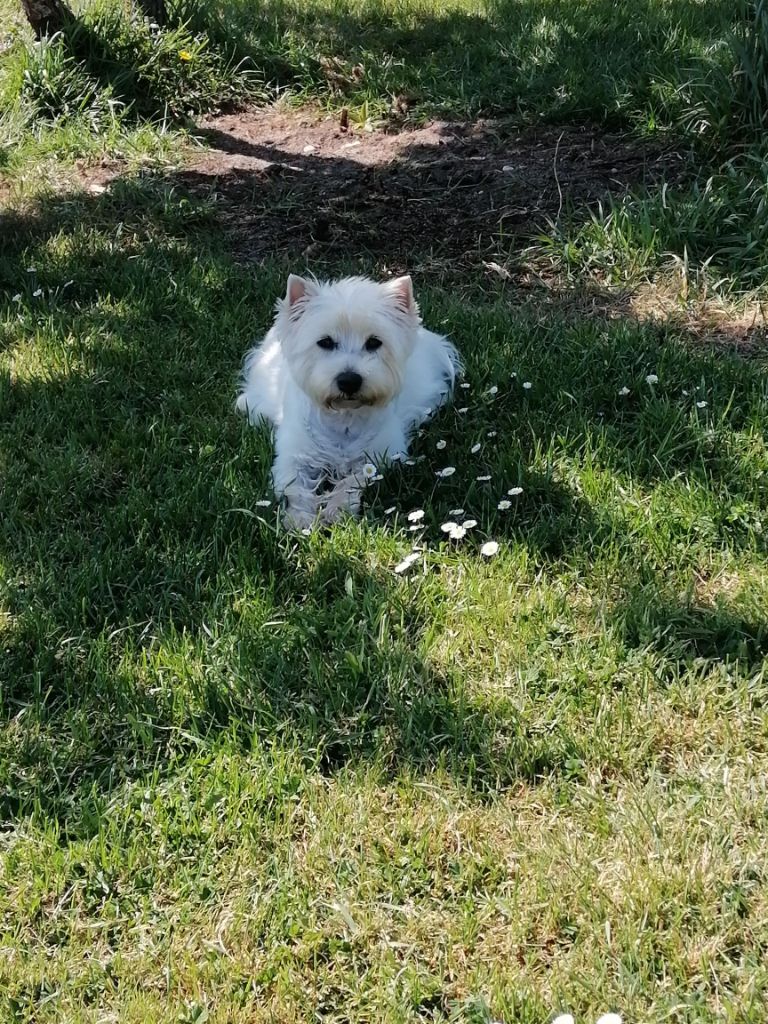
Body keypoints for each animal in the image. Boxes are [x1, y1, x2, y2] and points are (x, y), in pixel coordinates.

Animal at [234, 274, 460, 528]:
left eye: (374, 342)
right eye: (325, 342)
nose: (349, 381)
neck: (344, 417)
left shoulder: (382, 455)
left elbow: (351, 481)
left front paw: (337, 511)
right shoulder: (293, 456)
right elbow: (296, 489)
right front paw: (300, 520)